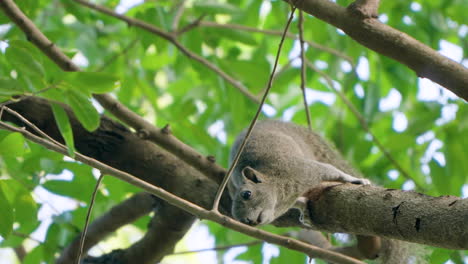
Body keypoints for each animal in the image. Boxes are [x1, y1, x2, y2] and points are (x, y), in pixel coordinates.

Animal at [227, 120, 370, 226]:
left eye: (246, 194)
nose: (247, 221)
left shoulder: (304, 170)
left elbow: (333, 171)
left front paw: (356, 180)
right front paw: (303, 208)